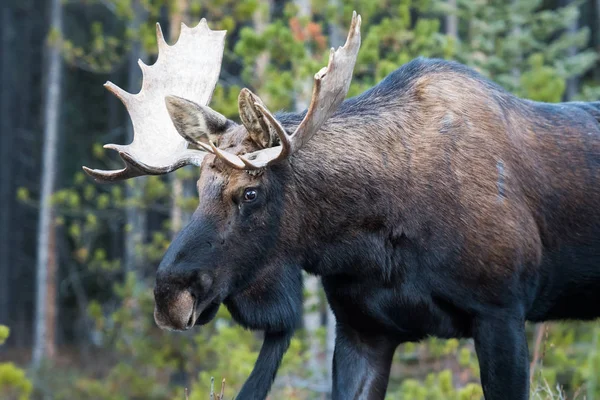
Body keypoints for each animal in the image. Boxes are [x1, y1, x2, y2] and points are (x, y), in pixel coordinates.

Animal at [83, 12, 600, 400]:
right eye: (198, 188)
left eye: (250, 192)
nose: (170, 295)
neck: (372, 244)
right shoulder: (362, 329)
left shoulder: (502, 313)